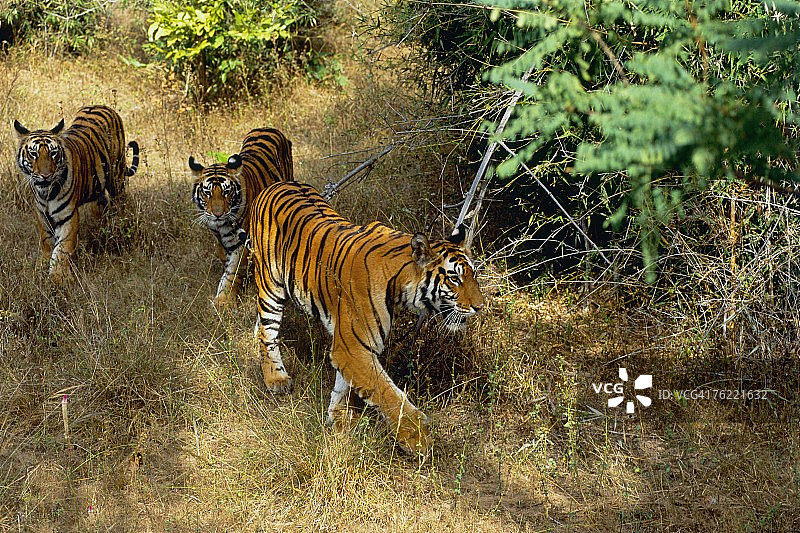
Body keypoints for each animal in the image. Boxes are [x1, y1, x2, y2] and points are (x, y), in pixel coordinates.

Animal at [14, 105, 140, 285]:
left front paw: (58, 279)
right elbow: (46, 241)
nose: (45, 176)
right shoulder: (41, 213)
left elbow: (62, 249)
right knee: (101, 205)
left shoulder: (68, 216)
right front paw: (43, 265)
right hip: (98, 188)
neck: (46, 193)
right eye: (33, 154)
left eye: (53, 153)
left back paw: (121, 228)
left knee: (121, 203)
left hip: (117, 177)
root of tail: (101, 106)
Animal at [189, 127, 293, 309]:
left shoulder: (241, 241)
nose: (217, 214)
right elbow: (223, 257)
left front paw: (224, 300)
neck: (220, 226)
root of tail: (268, 128)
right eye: (207, 192)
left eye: (226, 192)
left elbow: (232, 271)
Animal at [248, 181, 484, 454]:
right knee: (267, 332)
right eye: (454, 278)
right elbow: (387, 393)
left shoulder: (347, 345)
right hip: (270, 284)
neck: (400, 286)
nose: (480, 306)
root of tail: (278, 183)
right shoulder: (352, 347)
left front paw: (338, 418)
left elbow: (344, 383)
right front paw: (417, 438)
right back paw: (276, 378)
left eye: (473, 275)